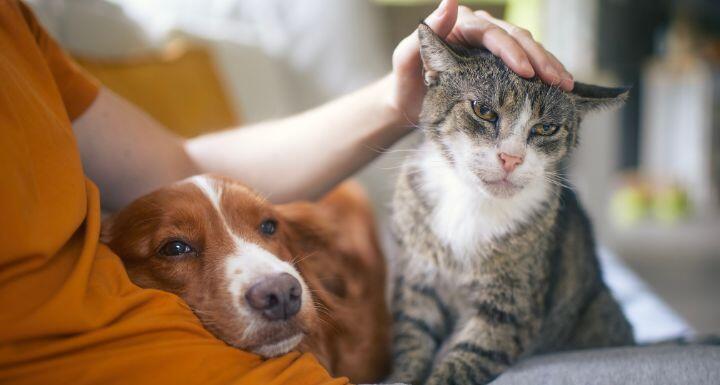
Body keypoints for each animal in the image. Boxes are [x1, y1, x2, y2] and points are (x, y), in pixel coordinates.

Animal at [390, 22, 632, 382]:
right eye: (483, 110)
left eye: (546, 128)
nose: (511, 158)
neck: (472, 203)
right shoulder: (417, 282)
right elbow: (411, 337)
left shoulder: (510, 308)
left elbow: (467, 357)